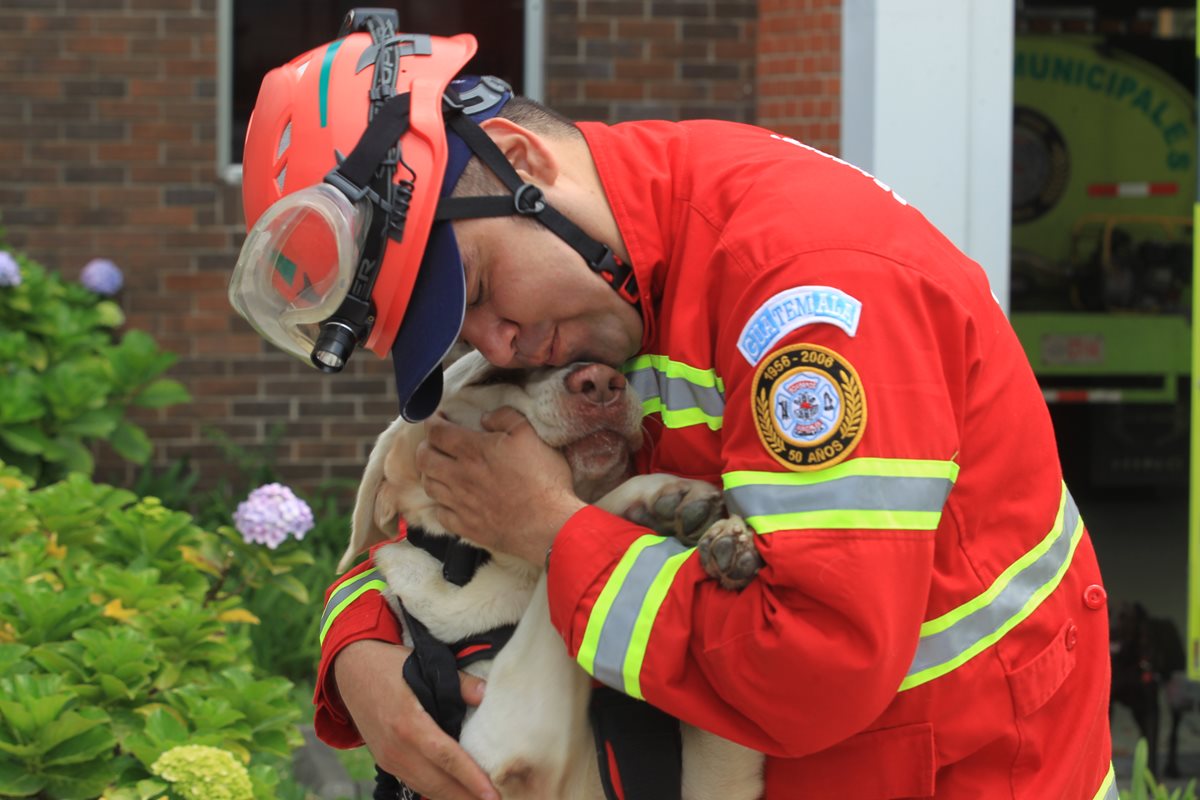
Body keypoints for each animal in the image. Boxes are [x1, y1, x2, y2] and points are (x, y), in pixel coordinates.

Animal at [340, 352, 758, 800]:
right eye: (495, 376)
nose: (602, 382)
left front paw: (722, 537)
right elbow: (579, 528)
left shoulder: (714, 780)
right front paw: (657, 497)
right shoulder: (503, 740)